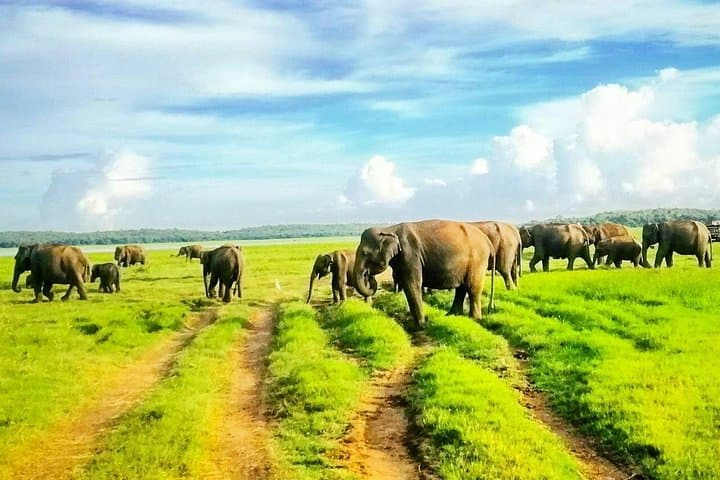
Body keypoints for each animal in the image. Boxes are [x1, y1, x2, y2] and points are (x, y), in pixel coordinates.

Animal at [353, 220, 495, 330]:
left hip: (477, 260)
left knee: (472, 288)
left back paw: (474, 319)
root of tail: (488, 241)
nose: (368, 275)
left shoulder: (410, 255)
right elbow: (406, 285)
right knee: (461, 288)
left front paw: (419, 326)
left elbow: (412, 284)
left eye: (365, 253)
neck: (389, 229)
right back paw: (452, 315)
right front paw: (415, 324)